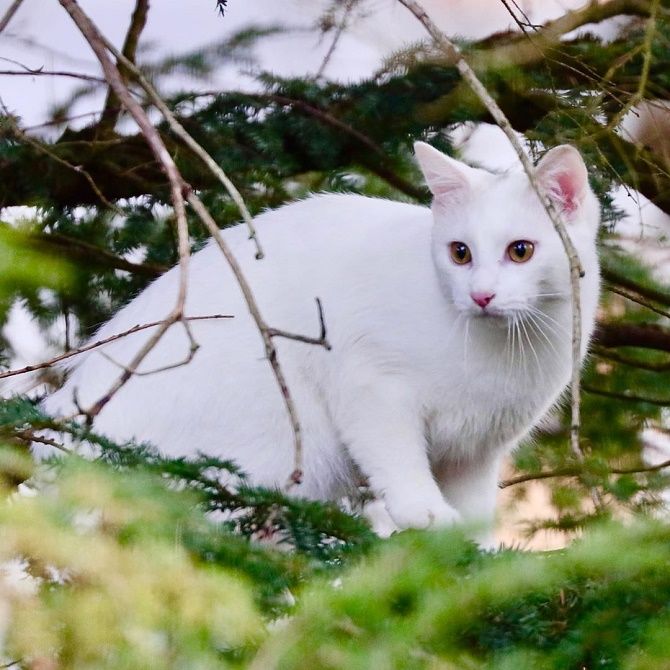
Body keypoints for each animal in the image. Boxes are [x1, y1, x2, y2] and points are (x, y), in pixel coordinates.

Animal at [39, 146, 600, 536]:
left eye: (521, 251)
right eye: (459, 253)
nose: (481, 295)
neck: (505, 348)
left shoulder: (475, 452)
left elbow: (476, 512)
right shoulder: (369, 382)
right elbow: (398, 460)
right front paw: (424, 513)